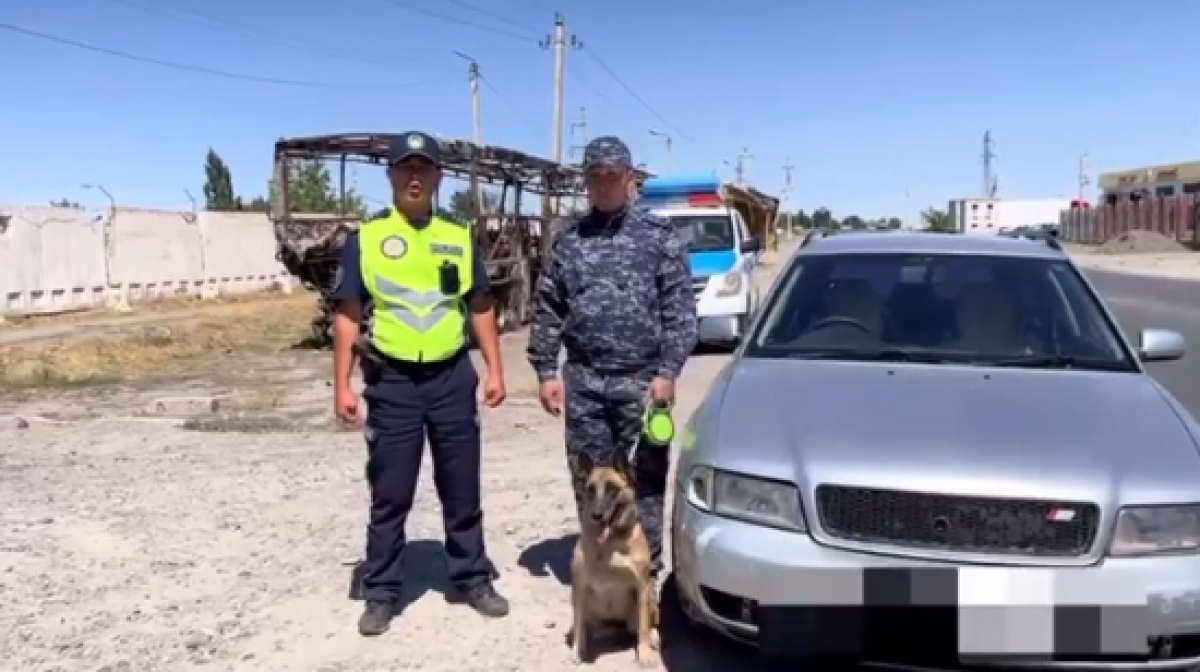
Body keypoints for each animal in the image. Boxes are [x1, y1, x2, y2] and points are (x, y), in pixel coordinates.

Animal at [566, 448, 662, 662]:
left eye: (612, 489)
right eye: (591, 489)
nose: (596, 515)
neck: (610, 544)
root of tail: (614, 623)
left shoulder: (642, 585)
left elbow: (643, 627)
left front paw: (644, 653)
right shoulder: (579, 588)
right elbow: (579, 624)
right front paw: (577, 650)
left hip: (650, 591)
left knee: (648, 624)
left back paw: (653, 637)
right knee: (583, 626)